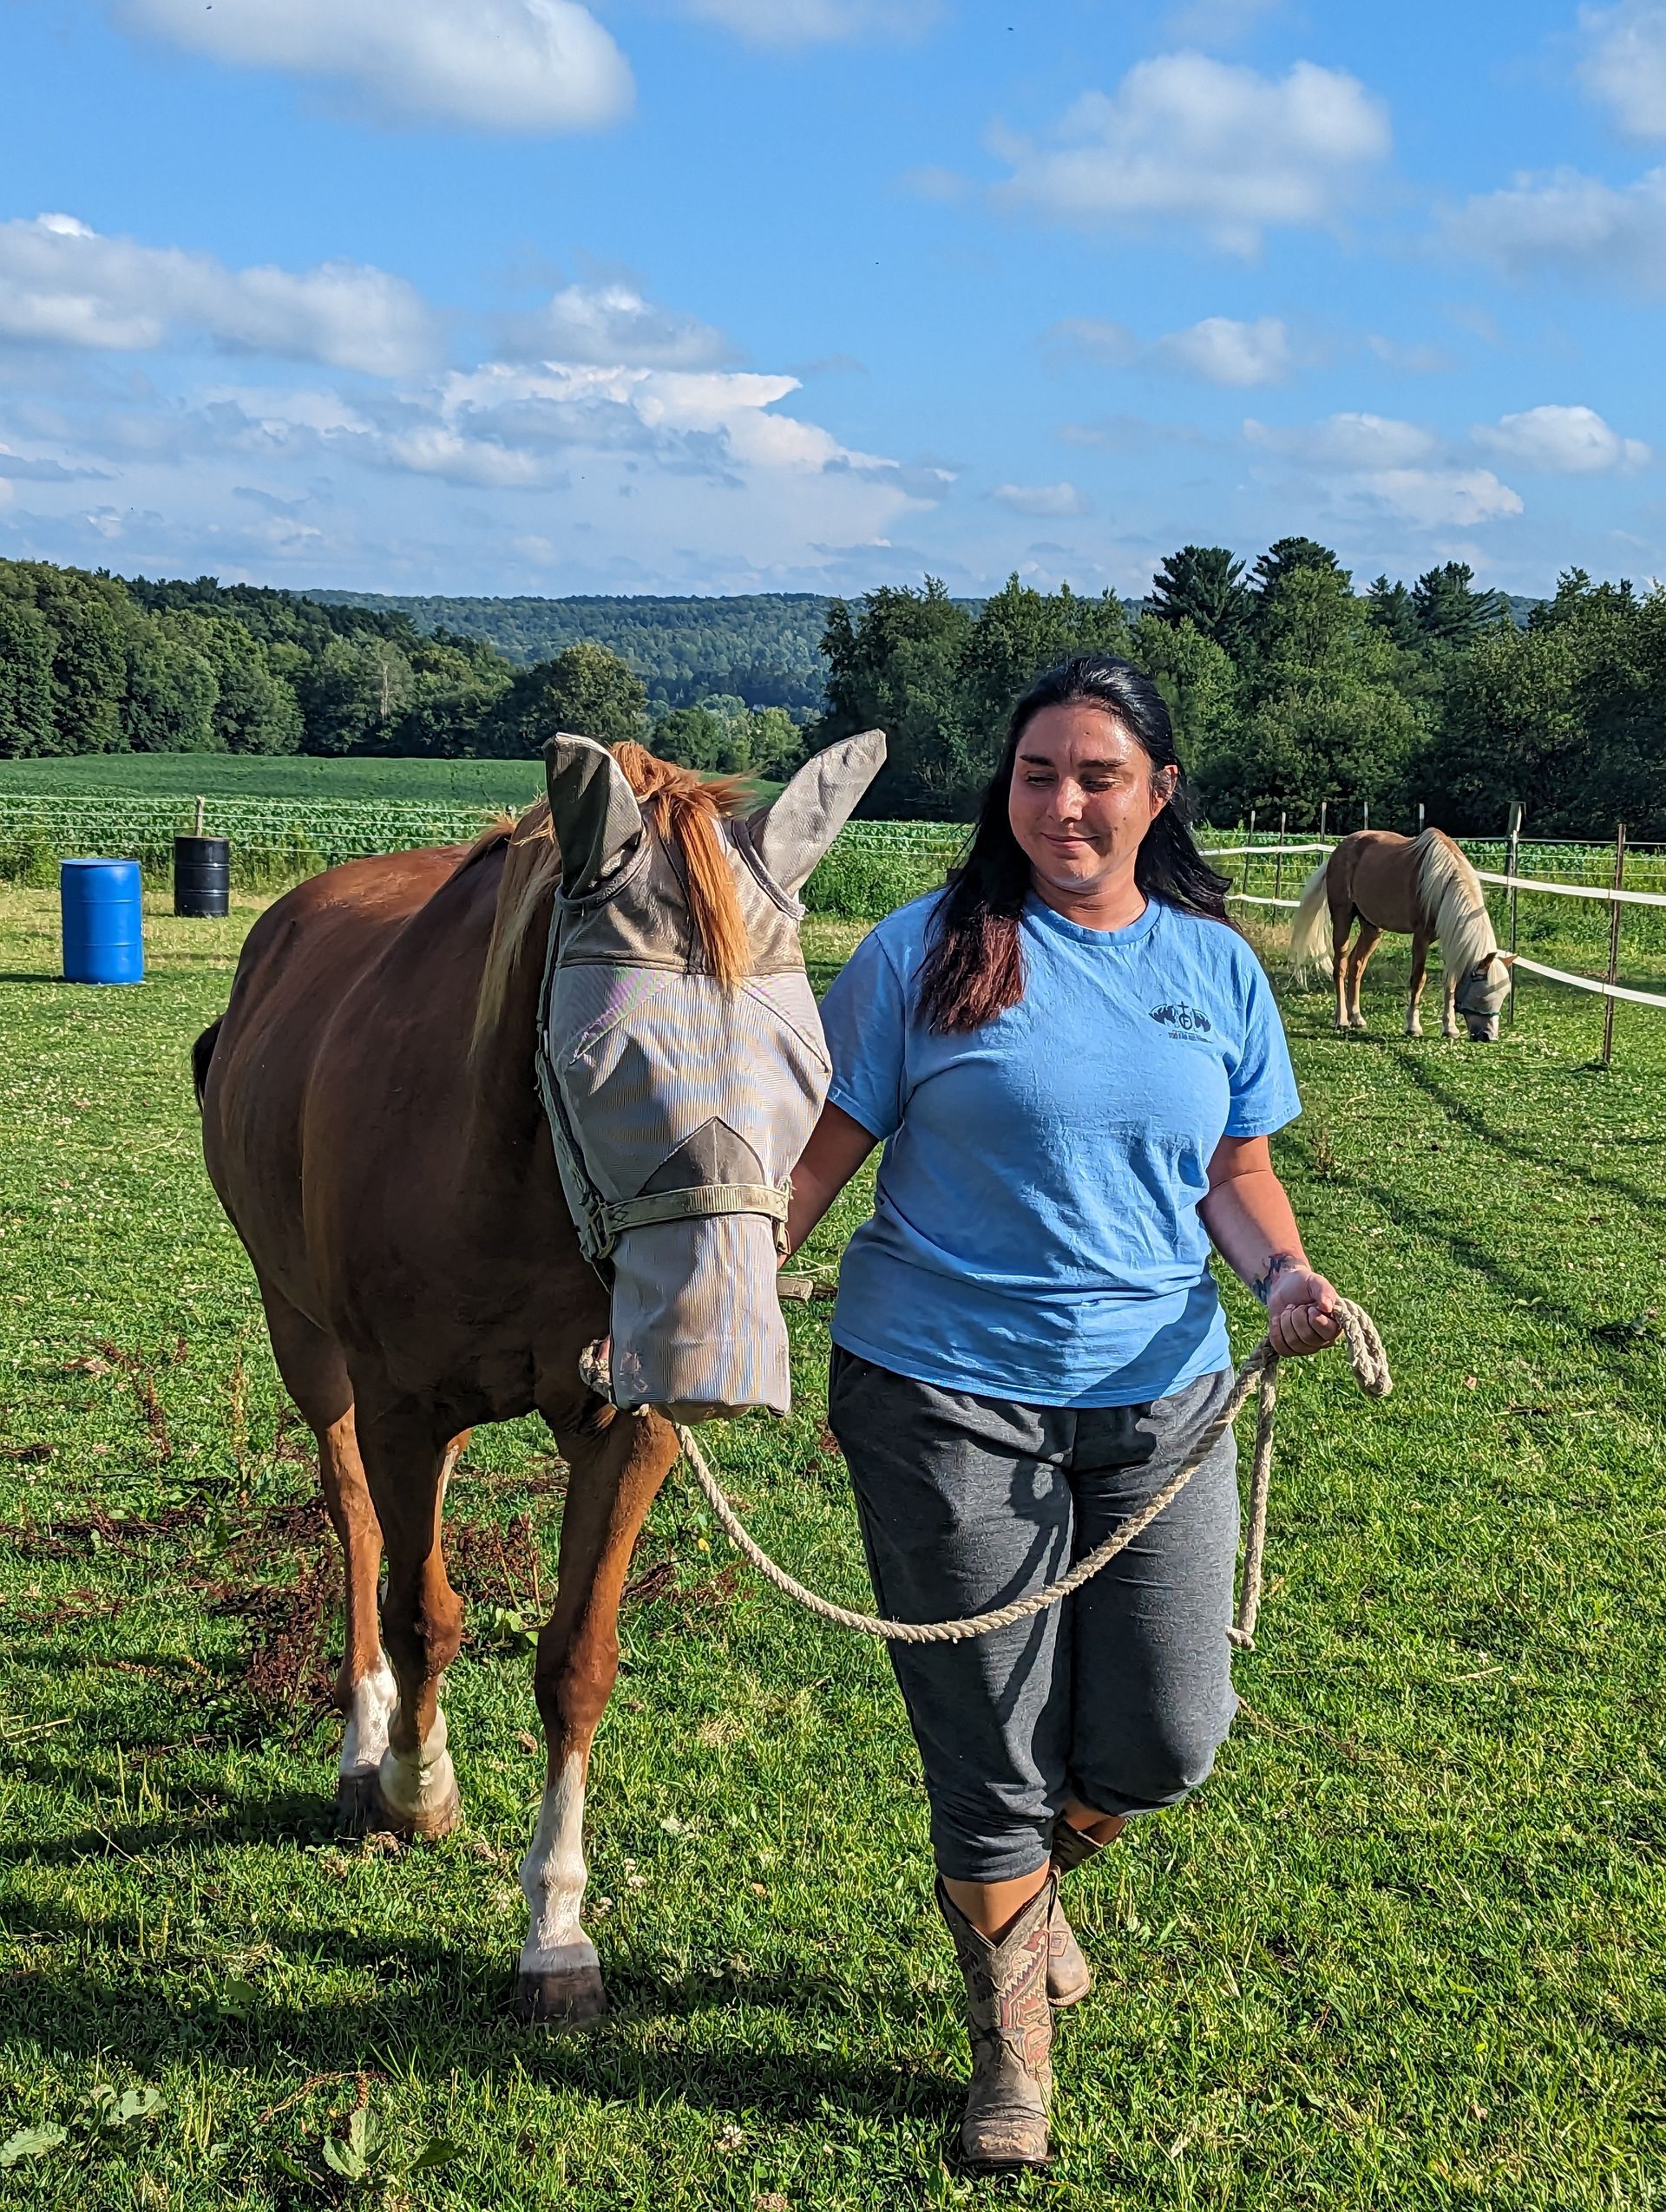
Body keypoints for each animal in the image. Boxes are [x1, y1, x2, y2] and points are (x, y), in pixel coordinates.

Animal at [194, 728, 885, 2025]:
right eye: (597, 1056)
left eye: (810, 1057)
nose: (719, 1357)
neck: (518, 1178)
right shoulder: (401, 1405)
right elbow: (421, 1611)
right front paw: (417, 1786)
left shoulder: (627, 1428)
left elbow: (576, 1663)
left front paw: (555, 1926)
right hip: (305, 1339)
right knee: (356, 1522)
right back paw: (367, 1743)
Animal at [1288, 827, 1515, 1041]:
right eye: (1482, 995)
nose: (1488, 1037)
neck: (1443, 883)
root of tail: (1339, 850)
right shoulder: (1421, 937)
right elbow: (1418, 979)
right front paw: (1413, 1026)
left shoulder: (1449, 941)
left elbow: (1450, 983)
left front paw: (1450, 1028)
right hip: (1343, 918)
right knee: (1341, 966)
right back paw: (1342, 1019)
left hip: (1372, 928)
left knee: (1357, 965)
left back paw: (1356, 1017)